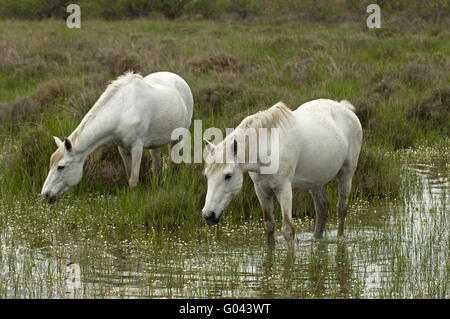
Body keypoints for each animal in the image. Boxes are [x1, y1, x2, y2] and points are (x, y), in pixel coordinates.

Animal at [42, 72, 195, 202]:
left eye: (61, 167)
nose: (45, 194)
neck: (122, 110)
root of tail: (177, 78)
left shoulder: (137, 147)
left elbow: (134, 181)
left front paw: (133, 204)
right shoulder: (122, 148)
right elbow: (129, 176)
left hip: (179, 136)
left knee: (172, 163)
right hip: (155, 143)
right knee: (157, 166)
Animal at [202, 100, 364, 245]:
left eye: (228, 176)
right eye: (206, 176)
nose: (208, 215)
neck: (268, 149)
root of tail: (345, 108)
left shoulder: (283, 189)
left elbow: (288, 230)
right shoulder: (262, 191)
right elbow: (269, 226)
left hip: (346, 174)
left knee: (341, 209)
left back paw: (340, 239)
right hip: (315, 181)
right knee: (322, 210)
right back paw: (316, 239)